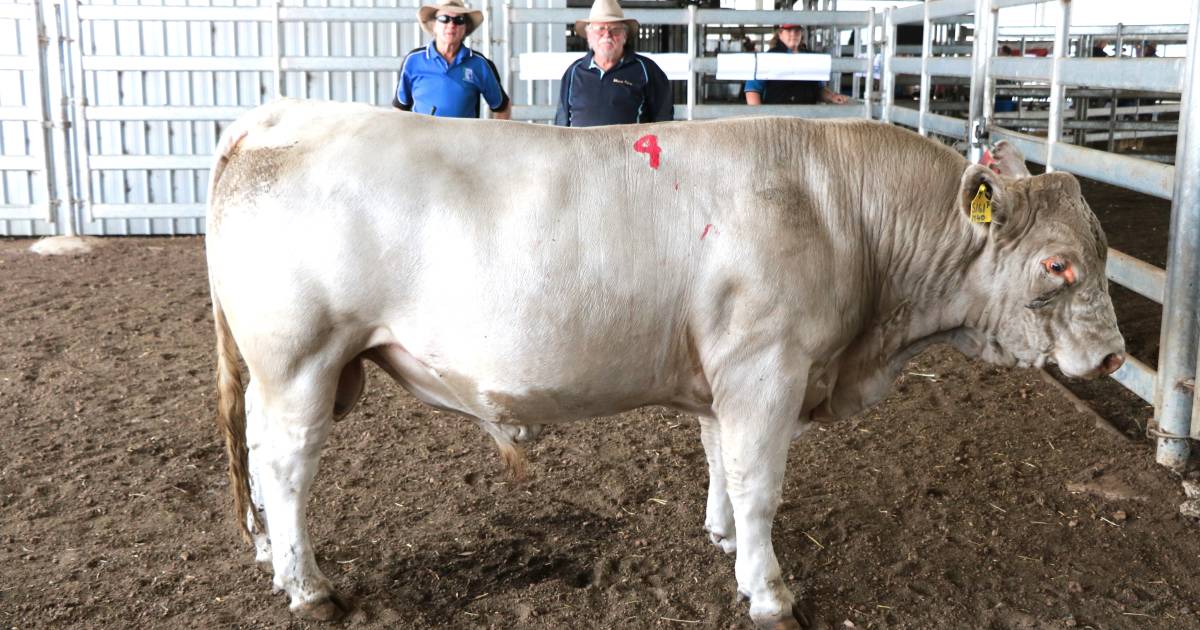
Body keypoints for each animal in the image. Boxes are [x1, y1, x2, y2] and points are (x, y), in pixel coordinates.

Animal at [208, 98, 1123, 624]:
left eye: (1102, 251)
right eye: (1058, 266)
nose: (1114, 357)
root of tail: (280, 114)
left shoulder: (723, 377)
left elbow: (720, 460)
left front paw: (721, 539)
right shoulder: (767, 367)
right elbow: (760, 484)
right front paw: (769, 590)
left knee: (257, 454)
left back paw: (270, 560)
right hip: (301, 360)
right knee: (286, 468)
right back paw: (309, 587)